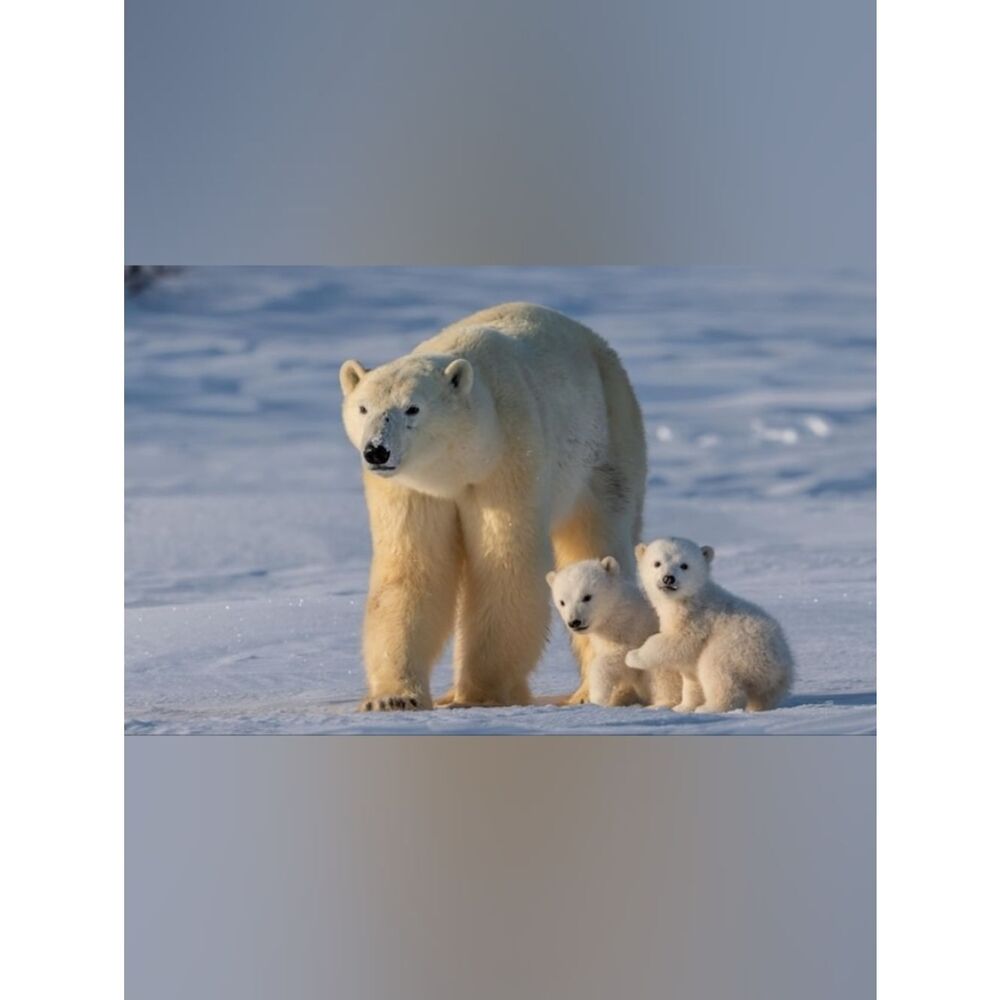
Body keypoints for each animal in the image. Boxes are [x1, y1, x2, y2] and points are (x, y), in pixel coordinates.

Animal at [339, 303, 647, 710]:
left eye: (413, 408)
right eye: (363, 408)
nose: (376, 450)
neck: (460, 464)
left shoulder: (509, 460)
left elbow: (505, 565)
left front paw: (480, 695)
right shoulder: (411, 489)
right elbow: (412, 568)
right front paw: (393, 697)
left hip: (606, 444)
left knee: (596, 537)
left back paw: (591, 692)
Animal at [546, 557, 682, 708]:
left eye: (587, 597)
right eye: (562, 602)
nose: (574, 622)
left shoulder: (633, 630)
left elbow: (618, 657)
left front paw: (598, 697)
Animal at [624, 537, 794, 713]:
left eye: (684, 565)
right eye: (657, 563)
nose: (668, 578)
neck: (689, 598)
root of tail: (780, 665)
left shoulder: (696, 619)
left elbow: (676, 642)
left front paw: (632, 656)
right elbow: (691, 677)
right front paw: (683, 707)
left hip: (737, 648)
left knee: (716, 671)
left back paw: (710, 707)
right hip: (771, 681)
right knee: (764, 696)